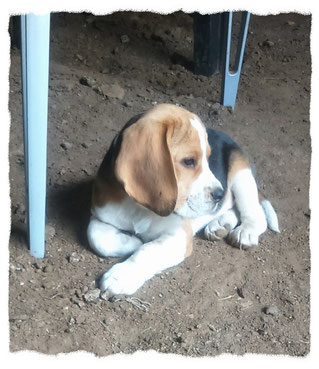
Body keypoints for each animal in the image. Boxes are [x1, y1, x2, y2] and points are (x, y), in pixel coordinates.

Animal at [88, 102, 280, 294]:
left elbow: (147, 250)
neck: (139, 209)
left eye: (208, 158)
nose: (220, 193)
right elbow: (96, 237)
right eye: (189, 161)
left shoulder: (178, 236)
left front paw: (121, 276)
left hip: (241, 176)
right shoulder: (101, 214)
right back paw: (220, 225)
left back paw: (245, 231)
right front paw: (133, 241)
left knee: (254, 212)